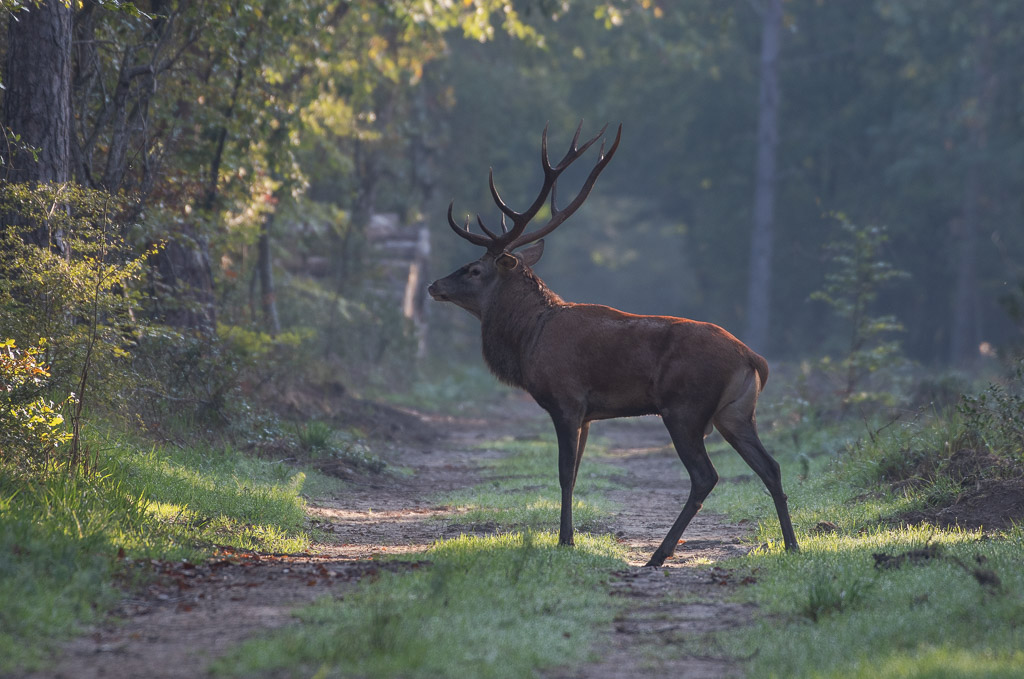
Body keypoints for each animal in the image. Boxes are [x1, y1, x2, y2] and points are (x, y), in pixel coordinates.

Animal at [427, 123, 799, 567]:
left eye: (473, 269)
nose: (434, 285)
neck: (528, 339)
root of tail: (754, 358)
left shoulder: (566, 400)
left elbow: (564, 473)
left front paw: (565, 540)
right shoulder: (588, 414)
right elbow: (576, 471)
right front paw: (567, 536)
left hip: (686, 407)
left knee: (705, 476)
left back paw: (658, 555)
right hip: (737, 413)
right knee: (771, 466)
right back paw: (792, 545)